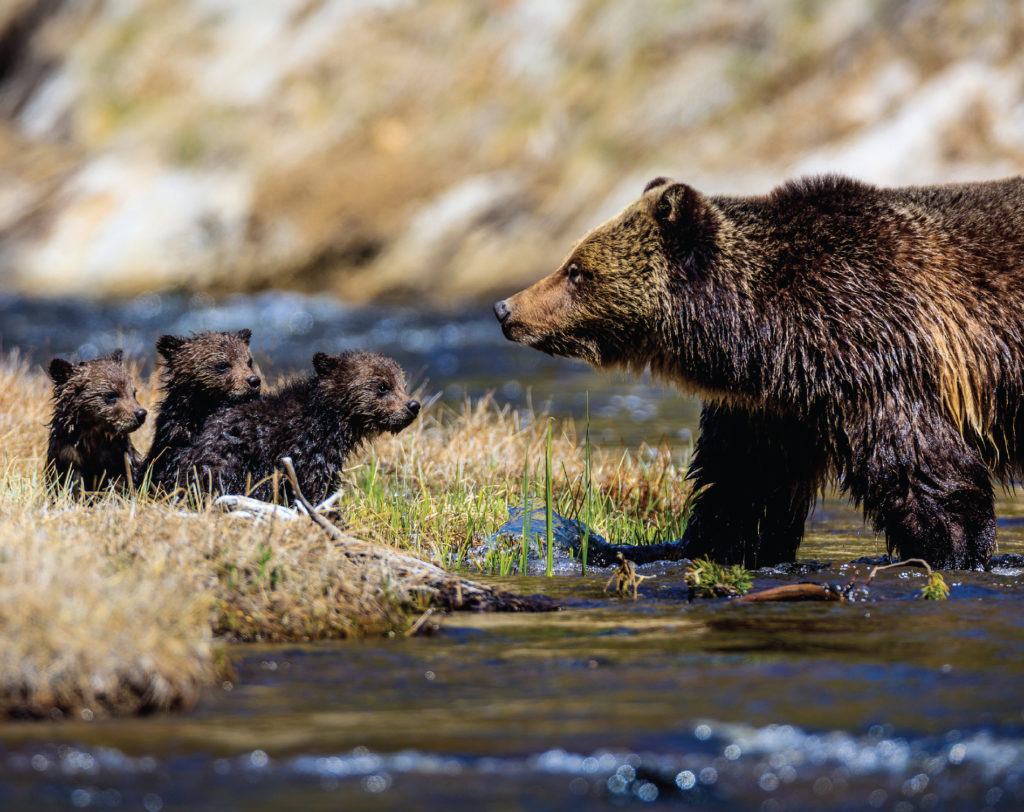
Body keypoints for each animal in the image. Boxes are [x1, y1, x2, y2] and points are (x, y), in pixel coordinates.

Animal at [493, 176, 1024, 569]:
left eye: (576, 269)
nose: (505, 308)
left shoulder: (875, 356)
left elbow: (921, 468)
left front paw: (957, 549)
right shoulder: (770, 411)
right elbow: (741, 491)